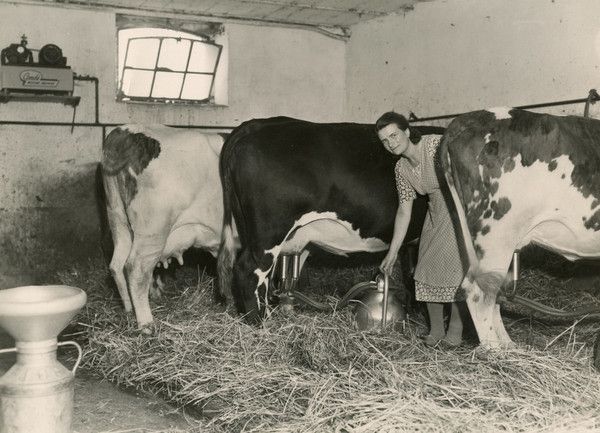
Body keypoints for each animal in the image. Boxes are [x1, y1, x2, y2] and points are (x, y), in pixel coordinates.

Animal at [101, 123, 239, 330]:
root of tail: (126, 132)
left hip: (117, 217)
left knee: (116, 265)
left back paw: (128, 310)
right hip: (153, 229)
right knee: (135, 268)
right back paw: (146, 323)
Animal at [217, 115, 446, 320]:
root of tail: (254, 125)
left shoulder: (413, 242)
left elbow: (412, 274)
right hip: (269, 233)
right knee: (248, 272)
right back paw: (260, 322)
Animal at [438, 107, 600, 348]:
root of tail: (467, 119)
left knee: (494, 292)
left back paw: (510, 348)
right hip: (495, 233)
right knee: (478, 291)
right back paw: (494, 351)